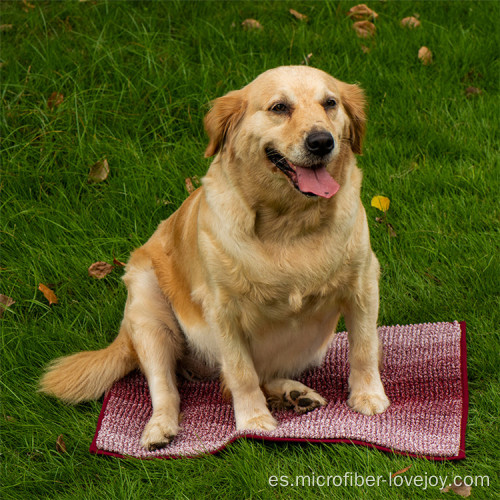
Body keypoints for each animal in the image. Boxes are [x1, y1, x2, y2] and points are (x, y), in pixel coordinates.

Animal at [40, 64, 390, 452]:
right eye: (279, 107)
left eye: (330, 103)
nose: (321, 141)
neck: (291, 225)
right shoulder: (223, 310)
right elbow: (241, 373)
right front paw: (253, 421)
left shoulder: (362, 284)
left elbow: (364, 348)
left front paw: (369, 397)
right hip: (149, 312)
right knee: (168, 388)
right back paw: (159, 428)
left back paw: (293, 394)